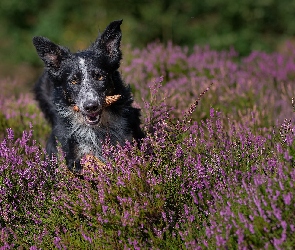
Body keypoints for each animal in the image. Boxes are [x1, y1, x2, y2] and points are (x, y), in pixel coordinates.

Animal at [33, 19, 145, 173]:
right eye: (73, 81)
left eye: (99, 77)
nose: (90, 106)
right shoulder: (76, 152)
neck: (97, 129)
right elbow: (87, 161)